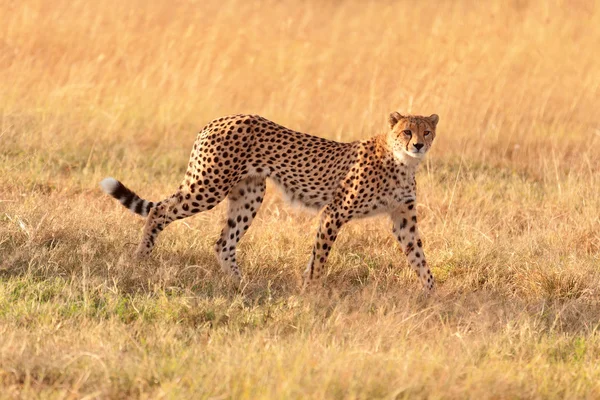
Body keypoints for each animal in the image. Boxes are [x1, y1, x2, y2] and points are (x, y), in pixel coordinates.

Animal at [101, 112, 438, 290]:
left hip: (249, 195)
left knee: (223, 242)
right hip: (209, 186)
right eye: (406, 131)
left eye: (427, 131)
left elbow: (419, 257)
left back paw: (242, 284)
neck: (401, 162)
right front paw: (312, 290)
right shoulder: (334, 211)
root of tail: (216, 120)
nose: (418, 145)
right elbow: (320, 256)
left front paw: (432, 294)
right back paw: (141, 258)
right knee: (159, 210)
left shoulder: (403, 219)